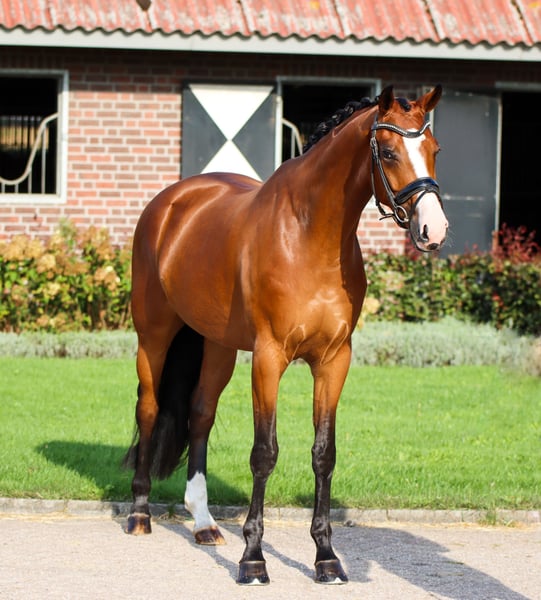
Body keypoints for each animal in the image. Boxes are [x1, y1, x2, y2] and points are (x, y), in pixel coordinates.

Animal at [124, 85, 448, 585]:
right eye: (390, 152)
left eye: (433, 150)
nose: (434, 229)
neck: (308, 236)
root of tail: (171, 202)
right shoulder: (268, 357)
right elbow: (265, 453)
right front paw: (253, 559)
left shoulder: (334, 361)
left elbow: (323, 454)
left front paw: (326, 557)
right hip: (154, 334)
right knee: (150, 407)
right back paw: (139, 512)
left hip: (217, 346)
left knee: (199, 415)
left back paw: (203, 522)